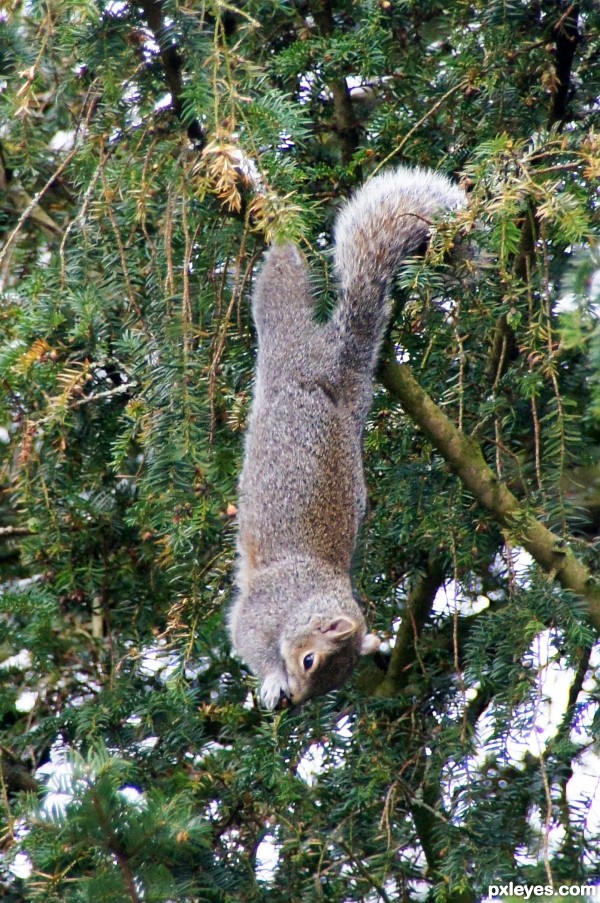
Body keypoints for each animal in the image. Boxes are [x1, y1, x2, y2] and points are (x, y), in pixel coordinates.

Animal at [227, 166, 466, 708]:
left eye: (331, 683)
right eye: (309, 661)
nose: (297, 701)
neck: (307, 598)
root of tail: (335, 374)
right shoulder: (262, 609)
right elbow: (249, 640)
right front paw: (271, 678)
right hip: (287, 339)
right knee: (281, 286)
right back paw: (271, 210)